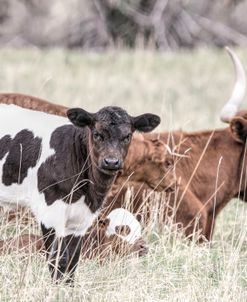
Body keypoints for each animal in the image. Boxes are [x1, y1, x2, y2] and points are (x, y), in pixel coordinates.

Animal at [0, 103, 160, 280]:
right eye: (96, 134)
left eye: (127, 136)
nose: (111, 162)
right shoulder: (50, 213)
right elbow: (57, 259)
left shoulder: (81, 220)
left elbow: (72, 261)